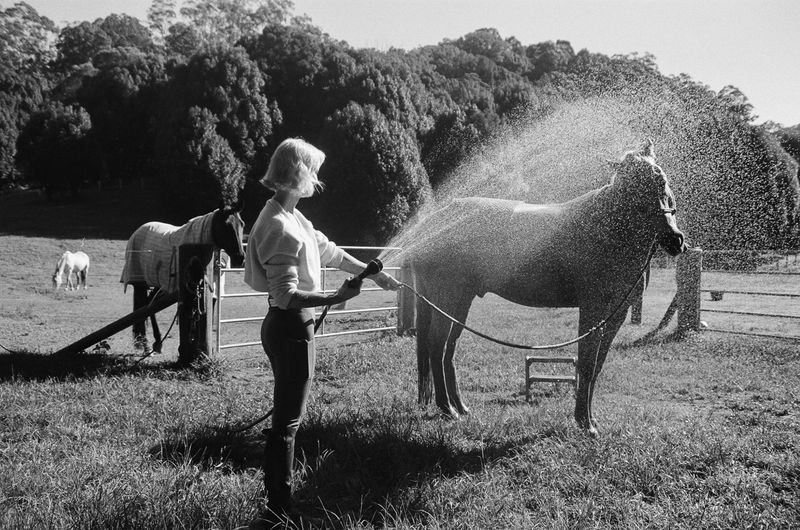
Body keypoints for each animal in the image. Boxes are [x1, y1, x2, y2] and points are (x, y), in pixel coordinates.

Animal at [120, 205, 246, 353]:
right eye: (226, 225)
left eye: (242, 224)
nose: (240, 258)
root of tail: (138, 231)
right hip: (140, 282)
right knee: (144, 307)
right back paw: (146, 344)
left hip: (159, 285)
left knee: (149, 304)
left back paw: (156, 343)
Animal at [409, 139, 687, 437]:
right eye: (630, 190)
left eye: (661, 181)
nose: (674, 240)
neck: (605, 231)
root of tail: (432, 224)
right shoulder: (593, 310)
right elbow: (586, 363)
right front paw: (584, 423)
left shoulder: (616, 314)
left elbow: (597, 365)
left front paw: (592, 420)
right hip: (448, 299)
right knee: (437, 346)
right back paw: (447, 409)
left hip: (460, 302)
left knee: (448, 349)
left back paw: (460, 407)